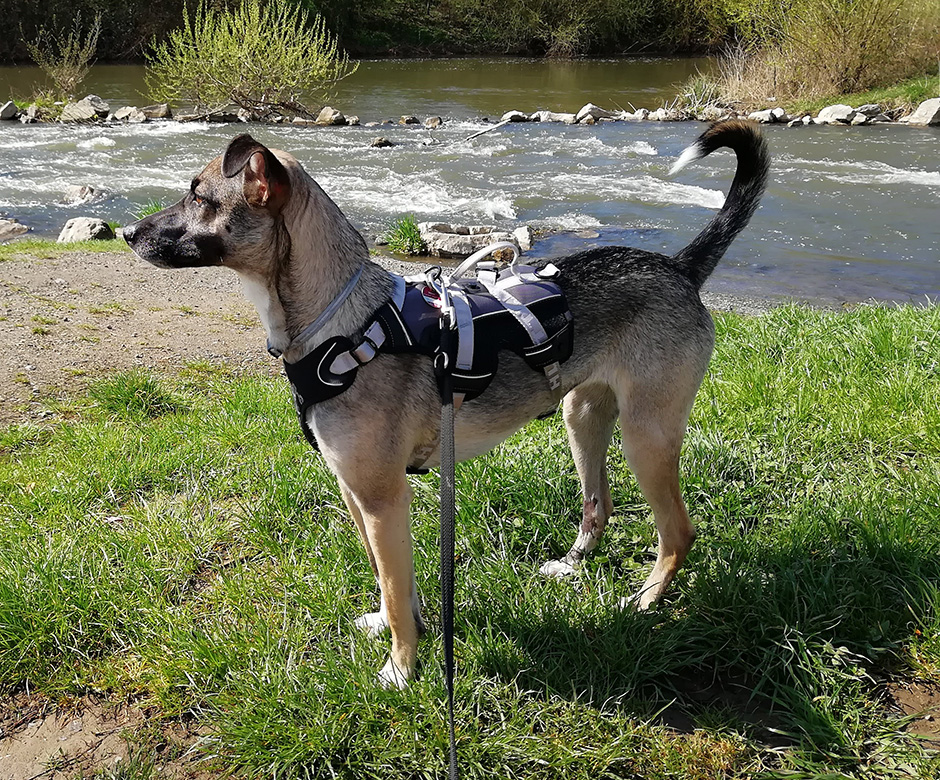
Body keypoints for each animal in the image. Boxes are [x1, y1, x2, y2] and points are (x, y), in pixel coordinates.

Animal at [123, 120, 772, 688]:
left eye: (199, 195)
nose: (130, 234)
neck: (342, 323)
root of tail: (678, 266)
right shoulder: (359, 495)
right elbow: (392, 583)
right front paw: (395, 631)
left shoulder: (383, 497)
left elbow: (393, 587)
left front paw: (401, 671)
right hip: (582, 415)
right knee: (600, 503)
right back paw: (572, 564)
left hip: (646, 436)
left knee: (678, 533)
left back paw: (645, 600)